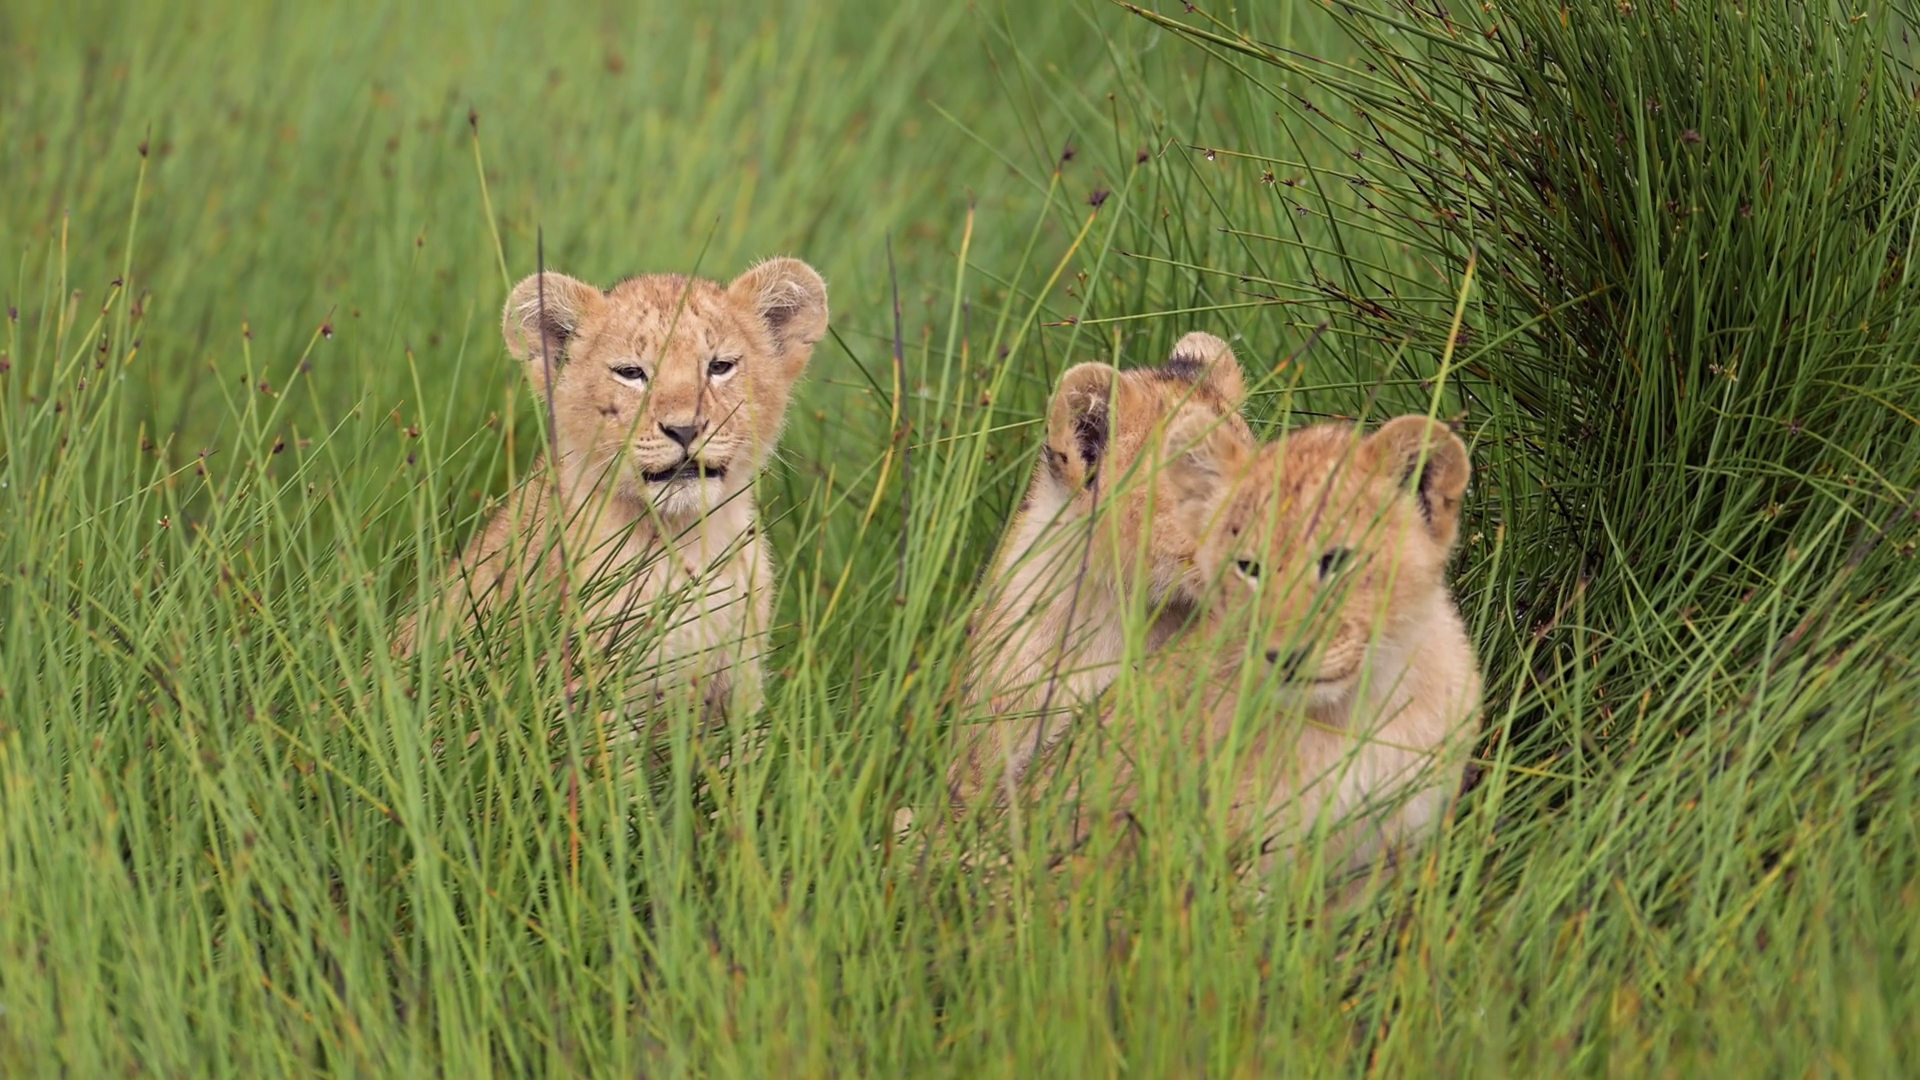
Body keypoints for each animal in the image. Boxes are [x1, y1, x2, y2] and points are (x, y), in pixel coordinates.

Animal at [397, 258, 828, 727]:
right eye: (631, 373)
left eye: (719, 366)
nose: (684, 429)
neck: (683, 543)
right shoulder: (592, 694)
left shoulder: (738, 684)